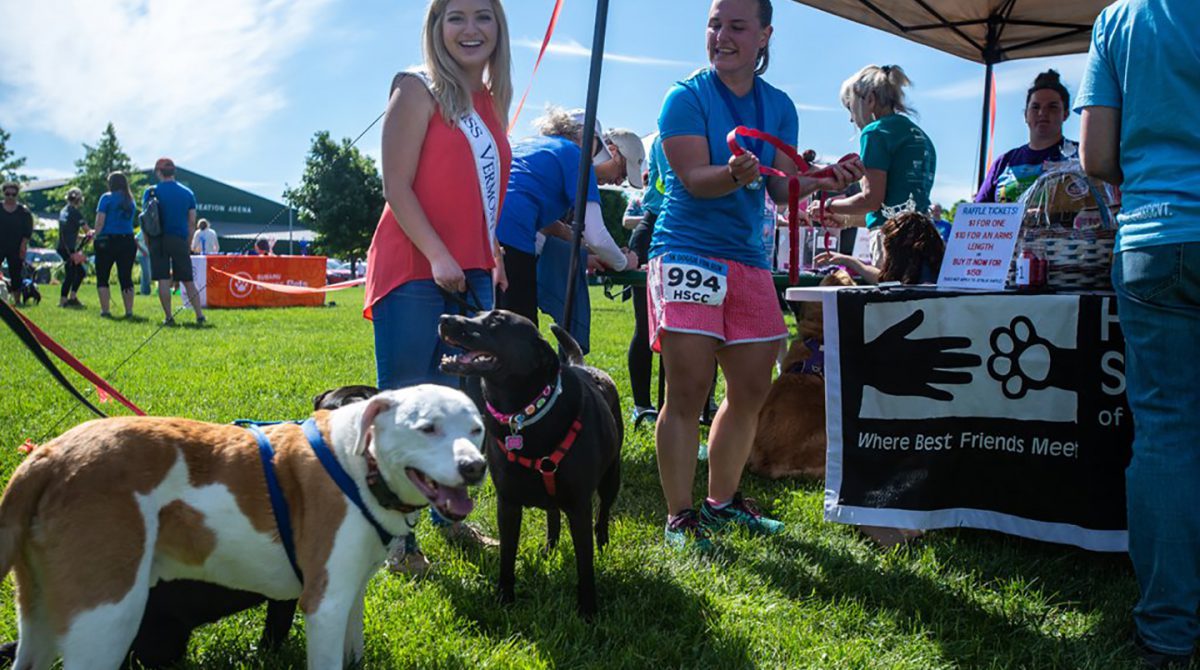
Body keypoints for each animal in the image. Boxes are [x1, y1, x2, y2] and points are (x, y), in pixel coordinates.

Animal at [0, 386, 489, 670]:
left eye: (477, 429)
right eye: (428, 428)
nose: (475, 466)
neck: (358, 464)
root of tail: (47, 458)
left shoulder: (349, 595)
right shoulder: (324, 605)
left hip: (39, 615)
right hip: (107, 618)